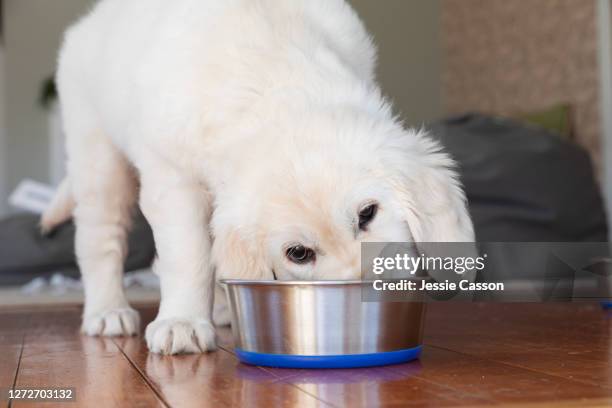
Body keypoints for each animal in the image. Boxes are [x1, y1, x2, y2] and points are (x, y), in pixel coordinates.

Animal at [41, 0, 474, 354]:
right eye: (298, 253)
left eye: (368, 214)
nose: (365, 291)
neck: (275, 84)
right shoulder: (173, 178)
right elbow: (188, 254)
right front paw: (182, 321)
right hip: (96, 156)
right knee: (100, 241)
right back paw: (107, 311)